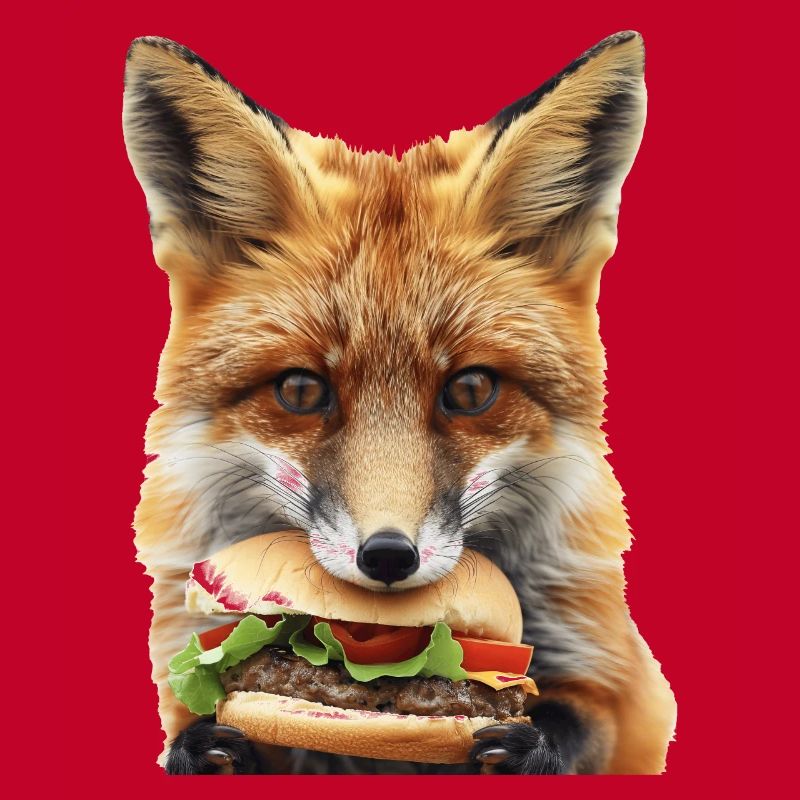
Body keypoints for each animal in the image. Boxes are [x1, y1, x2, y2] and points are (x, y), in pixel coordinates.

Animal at [123, 30, 677, 775]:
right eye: (302, 390)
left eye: (470, 390)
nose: (388, 557)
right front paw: (206, 746)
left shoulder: (622, 682)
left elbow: (584, 725)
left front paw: (525, 744)